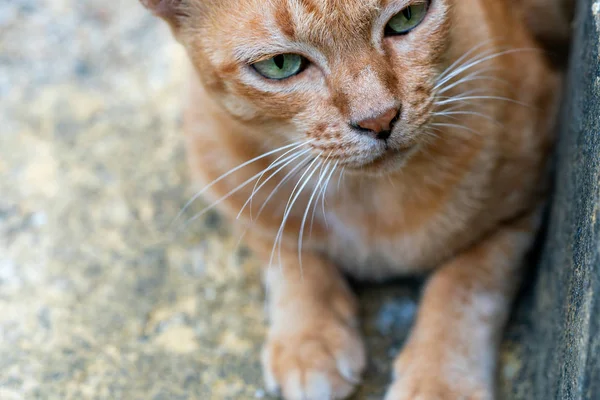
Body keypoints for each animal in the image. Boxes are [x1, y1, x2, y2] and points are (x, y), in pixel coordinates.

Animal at [139, 1, 568, 398]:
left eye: (408, 16)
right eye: (280, 64)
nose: (379, 119)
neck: (368, 198)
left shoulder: (526, 193)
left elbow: (467, 284)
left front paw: (440, 378)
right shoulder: (220, 168)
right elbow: (286, 248)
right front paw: (309, 338)